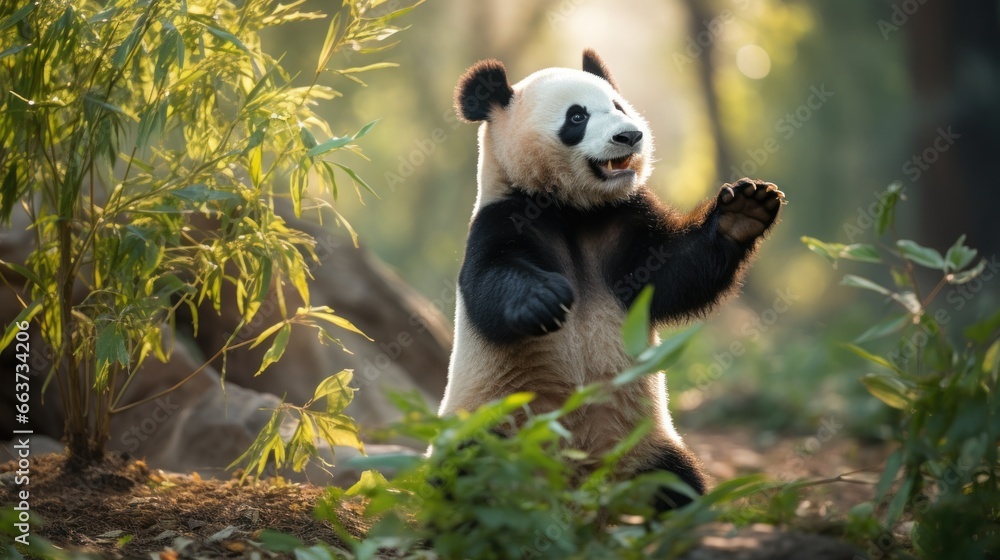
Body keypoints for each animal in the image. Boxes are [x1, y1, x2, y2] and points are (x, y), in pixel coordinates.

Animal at [442, 50, 784, 510]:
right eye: (577, 116)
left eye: (619, 106)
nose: (630, 136)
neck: (574, 211)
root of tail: (582, 491)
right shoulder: (501, 217)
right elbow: (489, 282)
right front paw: (544, 300)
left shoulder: (625, 221)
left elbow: (674, 275)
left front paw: (743, 211)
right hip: (493, 424)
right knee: (470, 478)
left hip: (645, 446)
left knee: (675, 483)